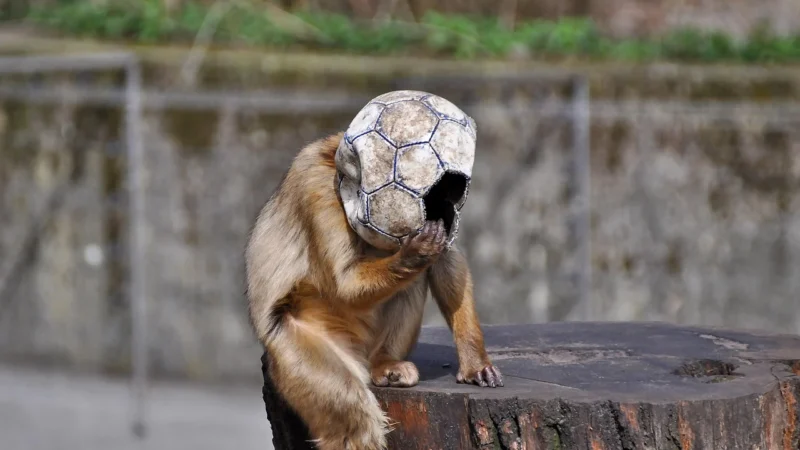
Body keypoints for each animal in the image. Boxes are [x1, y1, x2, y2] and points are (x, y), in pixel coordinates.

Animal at [245, 132, 503, 450]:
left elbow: (446, 260)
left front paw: (475, 363)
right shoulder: (314, 184)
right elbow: (344, 285)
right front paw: (415, 253)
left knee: (413, 282)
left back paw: (386, 363)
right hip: (293, 340)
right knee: (351, 413)